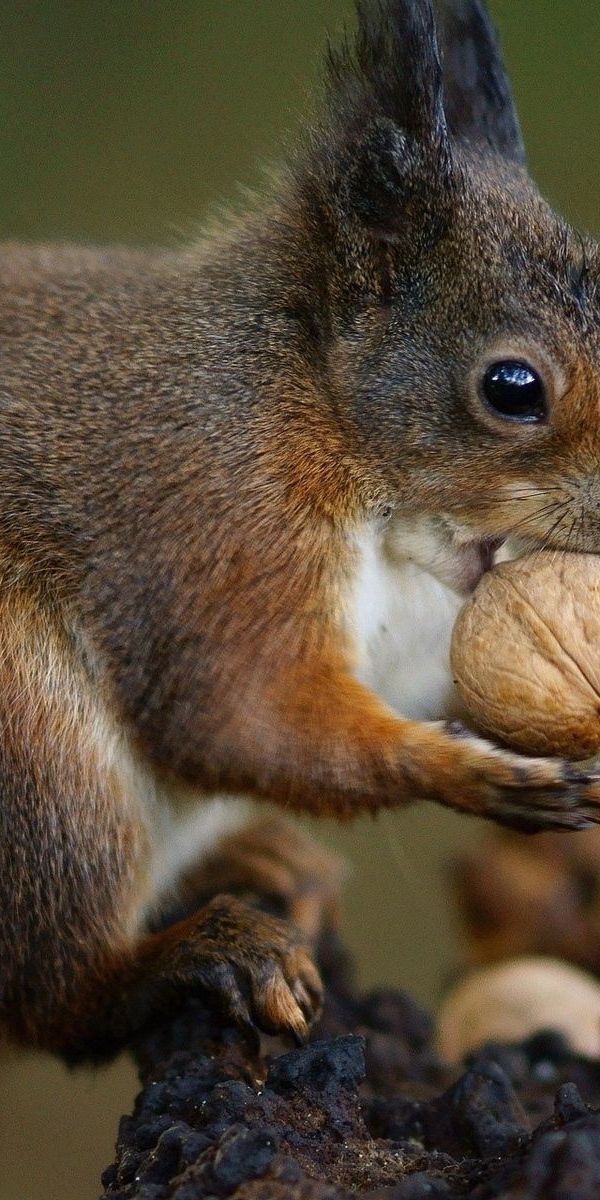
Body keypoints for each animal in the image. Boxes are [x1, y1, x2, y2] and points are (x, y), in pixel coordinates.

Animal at [1, 0, 600, 1070]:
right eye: (512, 387)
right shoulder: (210, 509)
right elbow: (232, 709)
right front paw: (470, 772)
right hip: (38, 765)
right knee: (55, 1000)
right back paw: (194, 956)